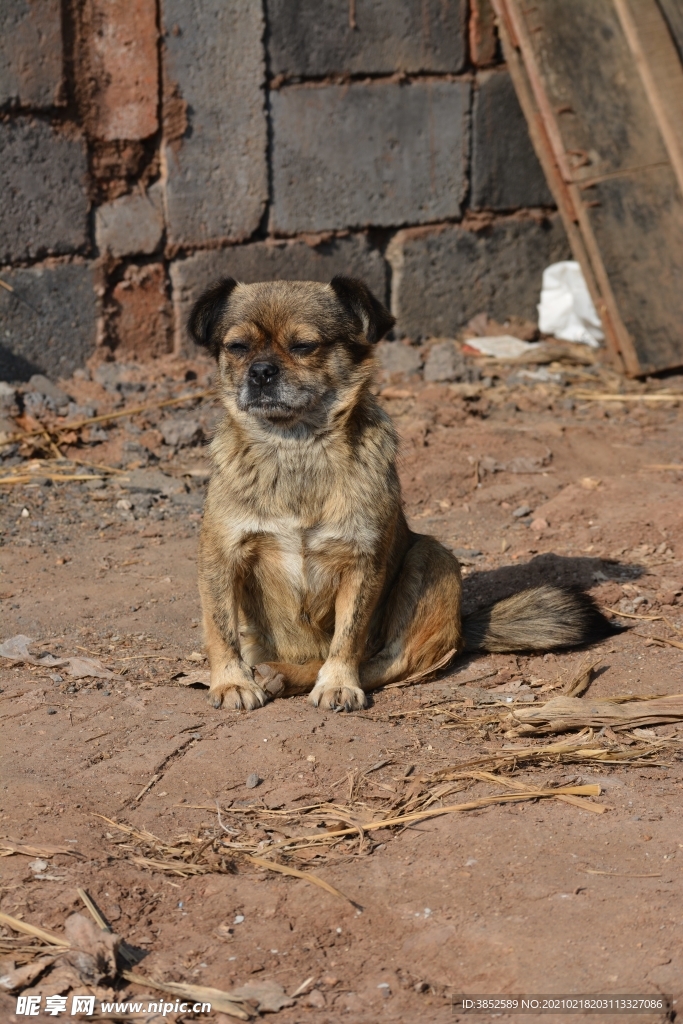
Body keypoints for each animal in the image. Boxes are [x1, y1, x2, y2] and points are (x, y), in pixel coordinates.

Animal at [188, 278, 614, 712]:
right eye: (238, 347)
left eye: (304, 346)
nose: (260, 372)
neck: (296, 447)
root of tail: (463, 626)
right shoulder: (221, 557)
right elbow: (221, 629)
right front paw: (231, 682)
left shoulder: (363, 564)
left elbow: (348, 638)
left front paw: (338, 683)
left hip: (432, 556)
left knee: (383, 661)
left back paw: (287, 675)